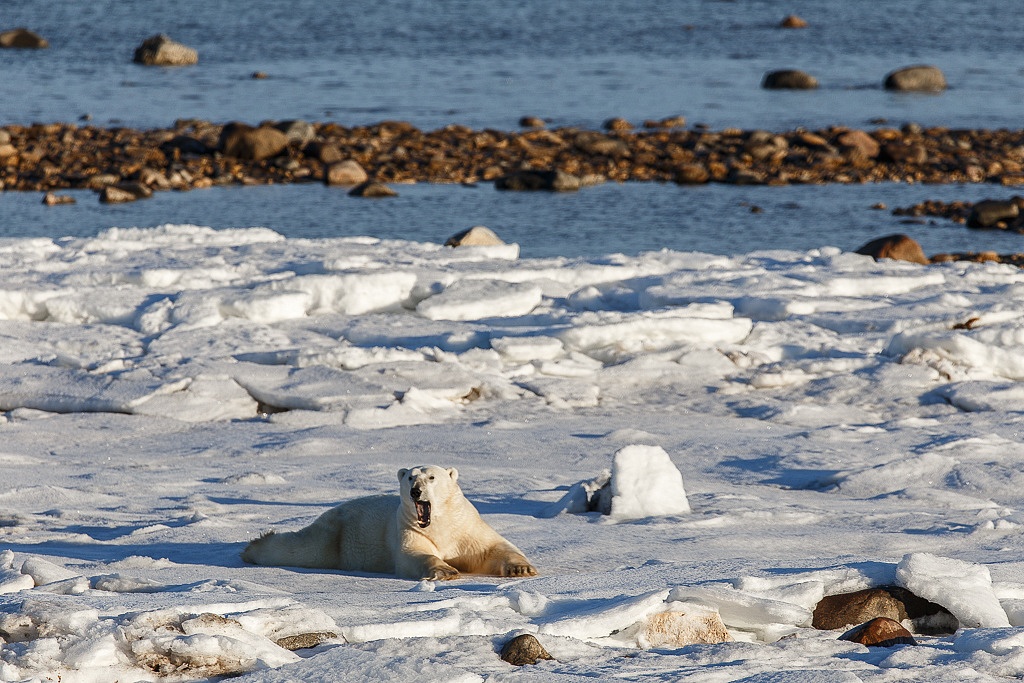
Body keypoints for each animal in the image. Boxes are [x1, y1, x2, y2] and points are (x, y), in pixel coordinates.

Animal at [240, 464, 540, 581]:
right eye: (410, 477)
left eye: (431, 477)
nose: (415, 491)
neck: (439, 524)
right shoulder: (407, 529)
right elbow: (414, 555)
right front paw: (445, 570)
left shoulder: (466, 528)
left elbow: (493, 548)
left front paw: (522, 568)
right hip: (335, 535)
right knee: (303, 548)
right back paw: (254, 547)